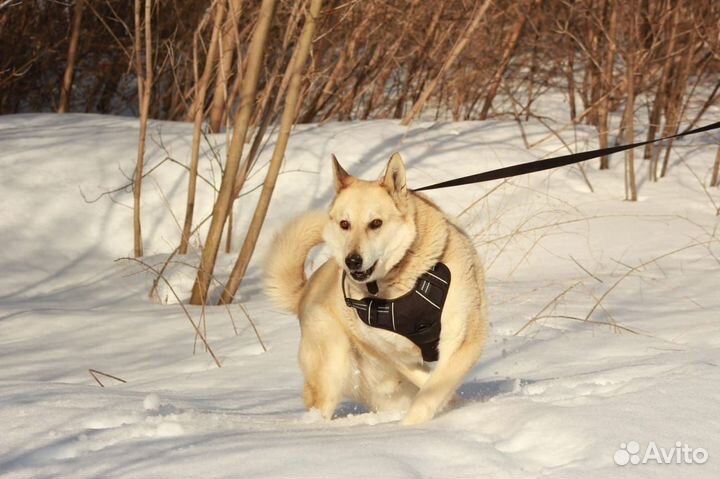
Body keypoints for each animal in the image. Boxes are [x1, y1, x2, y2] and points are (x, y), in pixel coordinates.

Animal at [264, 153, 490, 424]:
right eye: (345, 224)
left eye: (375, 223)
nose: (352, 261)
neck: (402, 281)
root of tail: (305, 291)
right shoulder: (393, 354)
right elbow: (428, 385)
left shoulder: (462, 340)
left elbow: (431, 390)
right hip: (334, 366)